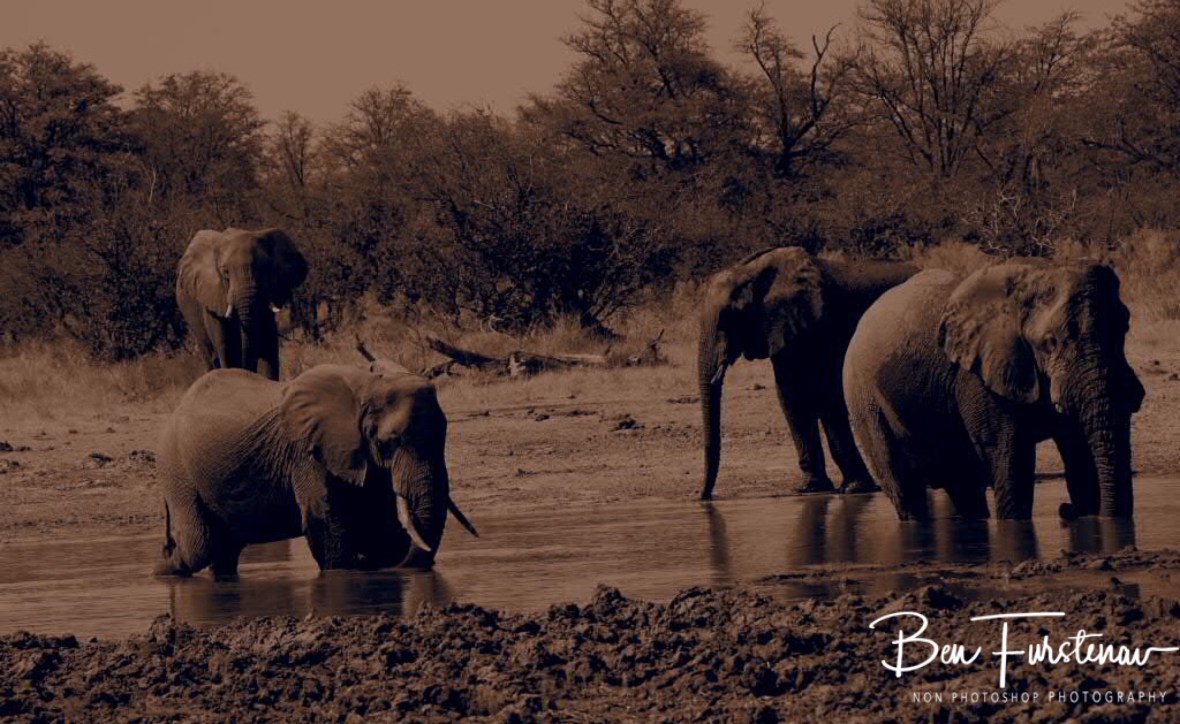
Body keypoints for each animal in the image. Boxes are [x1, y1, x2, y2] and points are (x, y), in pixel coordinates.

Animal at [154, 359, 478, 578]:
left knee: (224, 550)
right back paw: (162, 568)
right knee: (200, 545)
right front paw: (347, 571)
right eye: (389, 442)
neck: (367, 386)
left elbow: (378, 521)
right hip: (176, 468)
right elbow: (327, 518)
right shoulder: (308, 452)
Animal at [176, 227, 308, 380]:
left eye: (264, 269)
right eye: (226, 273)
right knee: (209, 353)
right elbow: (225, 344)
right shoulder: (211, 293)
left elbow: (268, 342)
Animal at [698, 246, 917, 500]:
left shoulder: (817, 326)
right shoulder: (784, 329)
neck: (751, 272)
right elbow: (790, 394)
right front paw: (811, 488)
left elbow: (823, 394)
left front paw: (852, 489)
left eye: (728, 317)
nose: (704, 497)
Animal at [842, 261, 1145, 521]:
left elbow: (1079, 452)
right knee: (904, 486)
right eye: (1050, 342)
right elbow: (1011, 455)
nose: (1065, 509)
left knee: (964, 486)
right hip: (862, 396)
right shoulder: (977, 375)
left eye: (1124, 327)